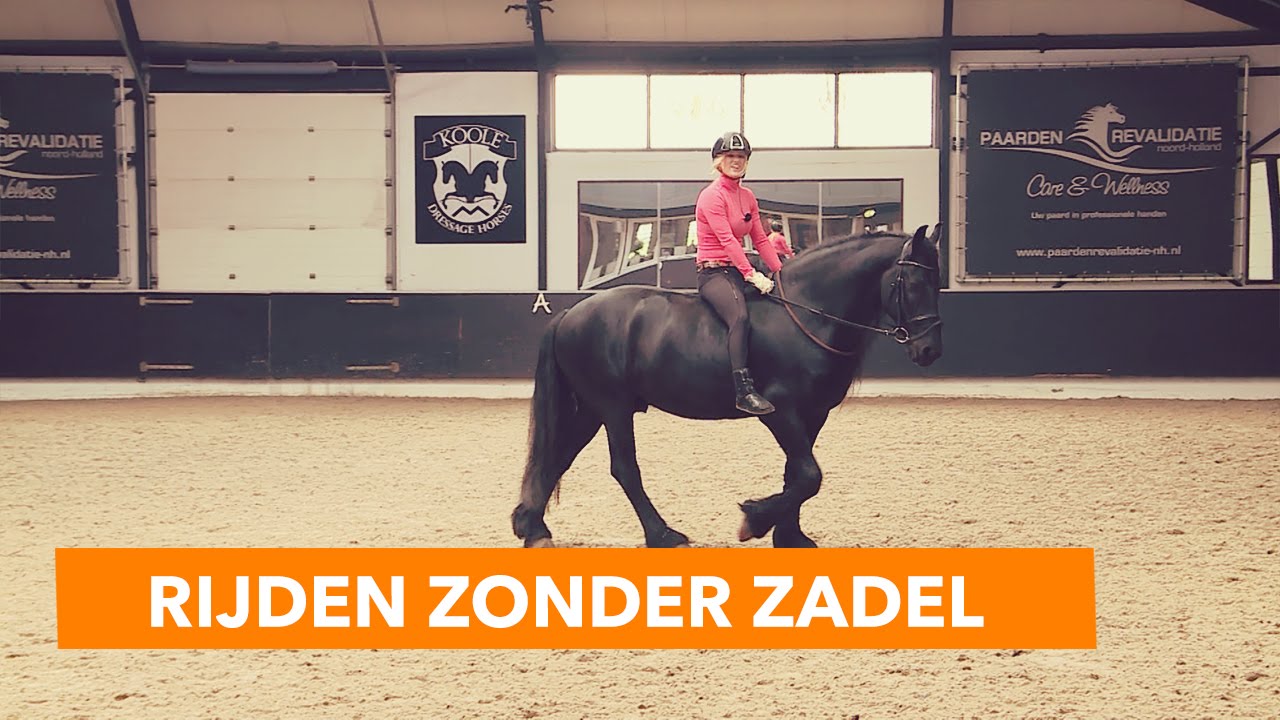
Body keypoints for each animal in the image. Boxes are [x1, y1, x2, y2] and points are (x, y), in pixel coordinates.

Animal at [511, 224, 943, 548]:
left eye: (938, 282)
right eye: (913, 282)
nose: (929, 350)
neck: (808, 315)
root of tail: (571, 313)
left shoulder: (813, 413)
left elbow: (797, 473)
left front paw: (790, 536)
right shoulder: (781, 411)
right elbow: (809, 475)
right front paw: (754, 520)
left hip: (591, 409)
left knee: (558, 456)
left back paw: (532, 528)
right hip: (612, 407)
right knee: (623, 469)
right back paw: (663, 535)